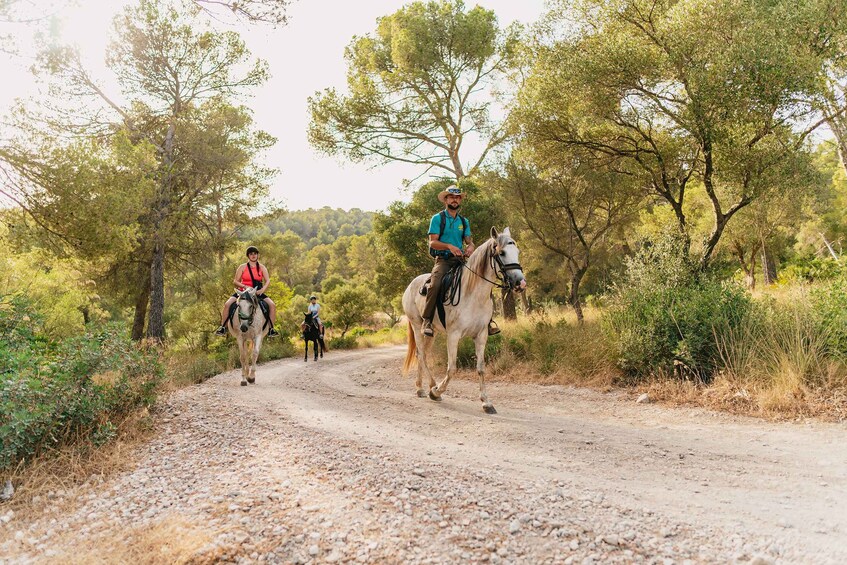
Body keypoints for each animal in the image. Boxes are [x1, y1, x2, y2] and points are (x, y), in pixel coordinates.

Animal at [400, 226, 528, 414]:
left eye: (517, 251)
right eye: (502, 252)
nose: (520, 283)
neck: (473, 294)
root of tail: (411, 285)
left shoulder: (481, 335)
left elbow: (481, 369)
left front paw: (486, 402)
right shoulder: (453, 335)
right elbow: (452, 368)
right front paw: (436, 392)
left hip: (432, 332)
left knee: (424, 354)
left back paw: (425, 386)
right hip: (417, 326)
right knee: (421, 354)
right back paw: (426, 388)